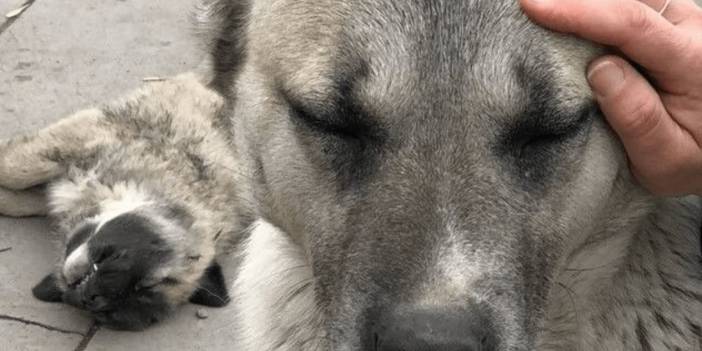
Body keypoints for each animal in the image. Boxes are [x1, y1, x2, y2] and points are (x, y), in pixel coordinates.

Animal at [0, 73, 239, 330]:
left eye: (110, 314)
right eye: (147, 283)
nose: (91, 298)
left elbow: (22, 200)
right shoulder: (82, 139)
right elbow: (15, 171)